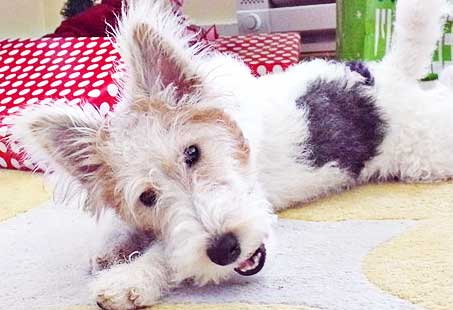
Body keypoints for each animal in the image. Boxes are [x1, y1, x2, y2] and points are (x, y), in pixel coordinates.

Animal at [8, 0, 452, 308]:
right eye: (147, 197)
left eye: (192, 153)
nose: (225, 249)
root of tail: (386, 75)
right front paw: (109, 250)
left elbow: (166, 253)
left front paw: (127, 280)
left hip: (424, 156)